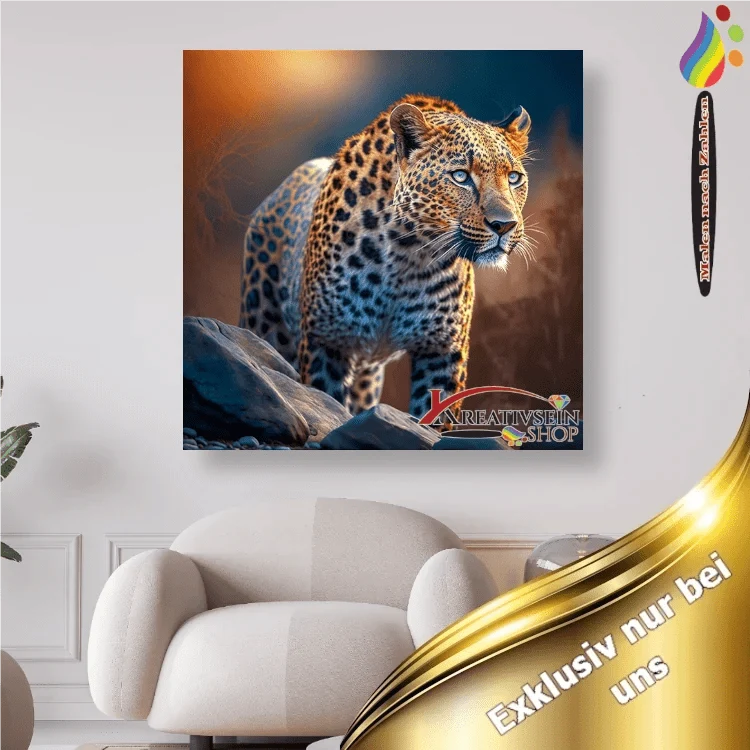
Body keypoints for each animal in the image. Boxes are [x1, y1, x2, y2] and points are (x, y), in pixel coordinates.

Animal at [240, 94, 532, 421]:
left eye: (514, 178)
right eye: (460, 176)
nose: (505, 225)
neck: (409, 253)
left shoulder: (442, 352)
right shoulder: (326, 341)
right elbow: (325, 401)